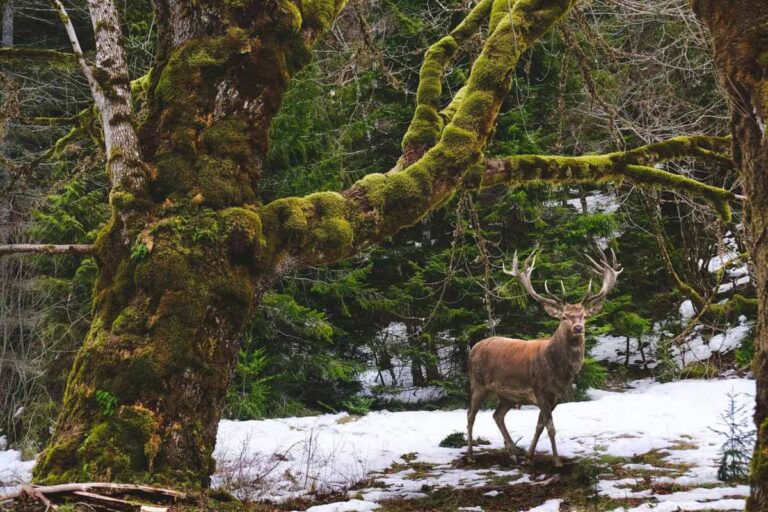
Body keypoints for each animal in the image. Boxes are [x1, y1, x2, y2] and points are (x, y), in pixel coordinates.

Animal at [466, 248, 622, 466]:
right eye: (564, 316)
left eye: (584, 316)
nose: (578, 327)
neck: (559, 371)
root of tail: (472, 348)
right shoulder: (540, 391)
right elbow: (551, 428)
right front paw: (557, 461)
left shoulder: (555, 396)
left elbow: (539, 426)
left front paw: (530, 456)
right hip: (477, 383)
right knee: (470, 415)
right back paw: (471, 456)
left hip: (507, 395)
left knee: (497, 415)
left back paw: (513, 453)